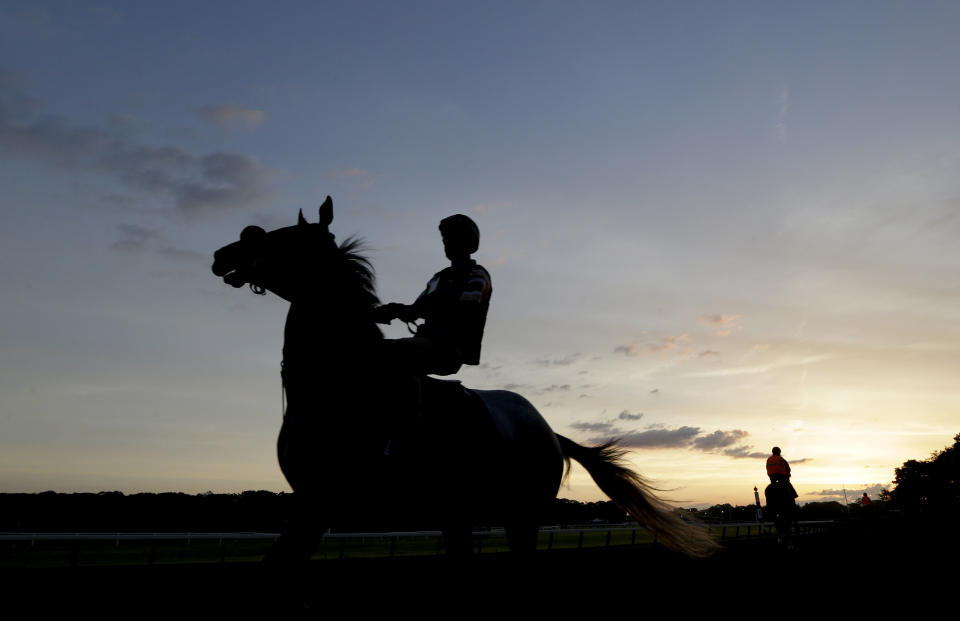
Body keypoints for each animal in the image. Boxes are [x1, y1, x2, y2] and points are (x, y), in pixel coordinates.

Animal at [212, 197, 720, 556]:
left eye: (284, 239)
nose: (223, 252)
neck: (337, 384)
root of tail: (549, 431)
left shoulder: (319, 503)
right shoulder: (310, 505)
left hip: (522, 516)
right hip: (459, 513)